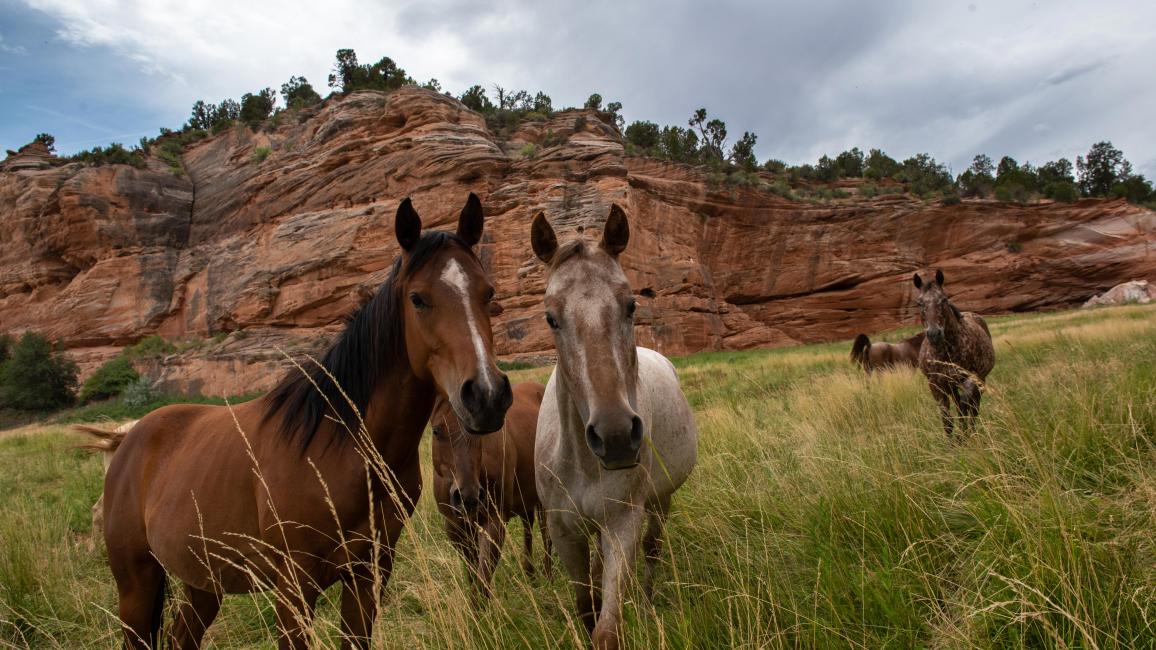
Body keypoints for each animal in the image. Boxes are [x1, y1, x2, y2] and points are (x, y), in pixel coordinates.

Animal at [101, 194, 514, 650]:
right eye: (418, 298)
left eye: (489, 293)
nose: (487, 395)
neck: (342, 447)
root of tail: (128, 441)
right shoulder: (294, 587)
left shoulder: (369, 574)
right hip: (137, 586)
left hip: (202, 585)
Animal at [430, 380, 551, 598]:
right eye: (436, 430)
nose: (468, 496)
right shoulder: (455, 528)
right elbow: (472, 574)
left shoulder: (495, 522)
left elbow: (482, 579)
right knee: (528, 527)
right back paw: (530, 574)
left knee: (546, 534)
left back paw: (548, 577)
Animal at [530, 205, 698, 650]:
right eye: (551, 317)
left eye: (631, 305)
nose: (617, 437)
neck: (582, 463)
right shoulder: (563, 531)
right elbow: (586, 606)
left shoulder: (622, 524)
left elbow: (607, 629)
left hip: (659, 502)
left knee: (653, 550)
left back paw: (647, 600)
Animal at [913, 269, 995, 438]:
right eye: (919, 303)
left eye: (943, 299)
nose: (934, 334)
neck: (945, 352)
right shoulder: (935, 385)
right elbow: (947, 418)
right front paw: (954, 443)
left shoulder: (970, 377)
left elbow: (964, 407)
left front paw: (964, 436)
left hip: (980, 379)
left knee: (973, 407)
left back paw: (971, 432)